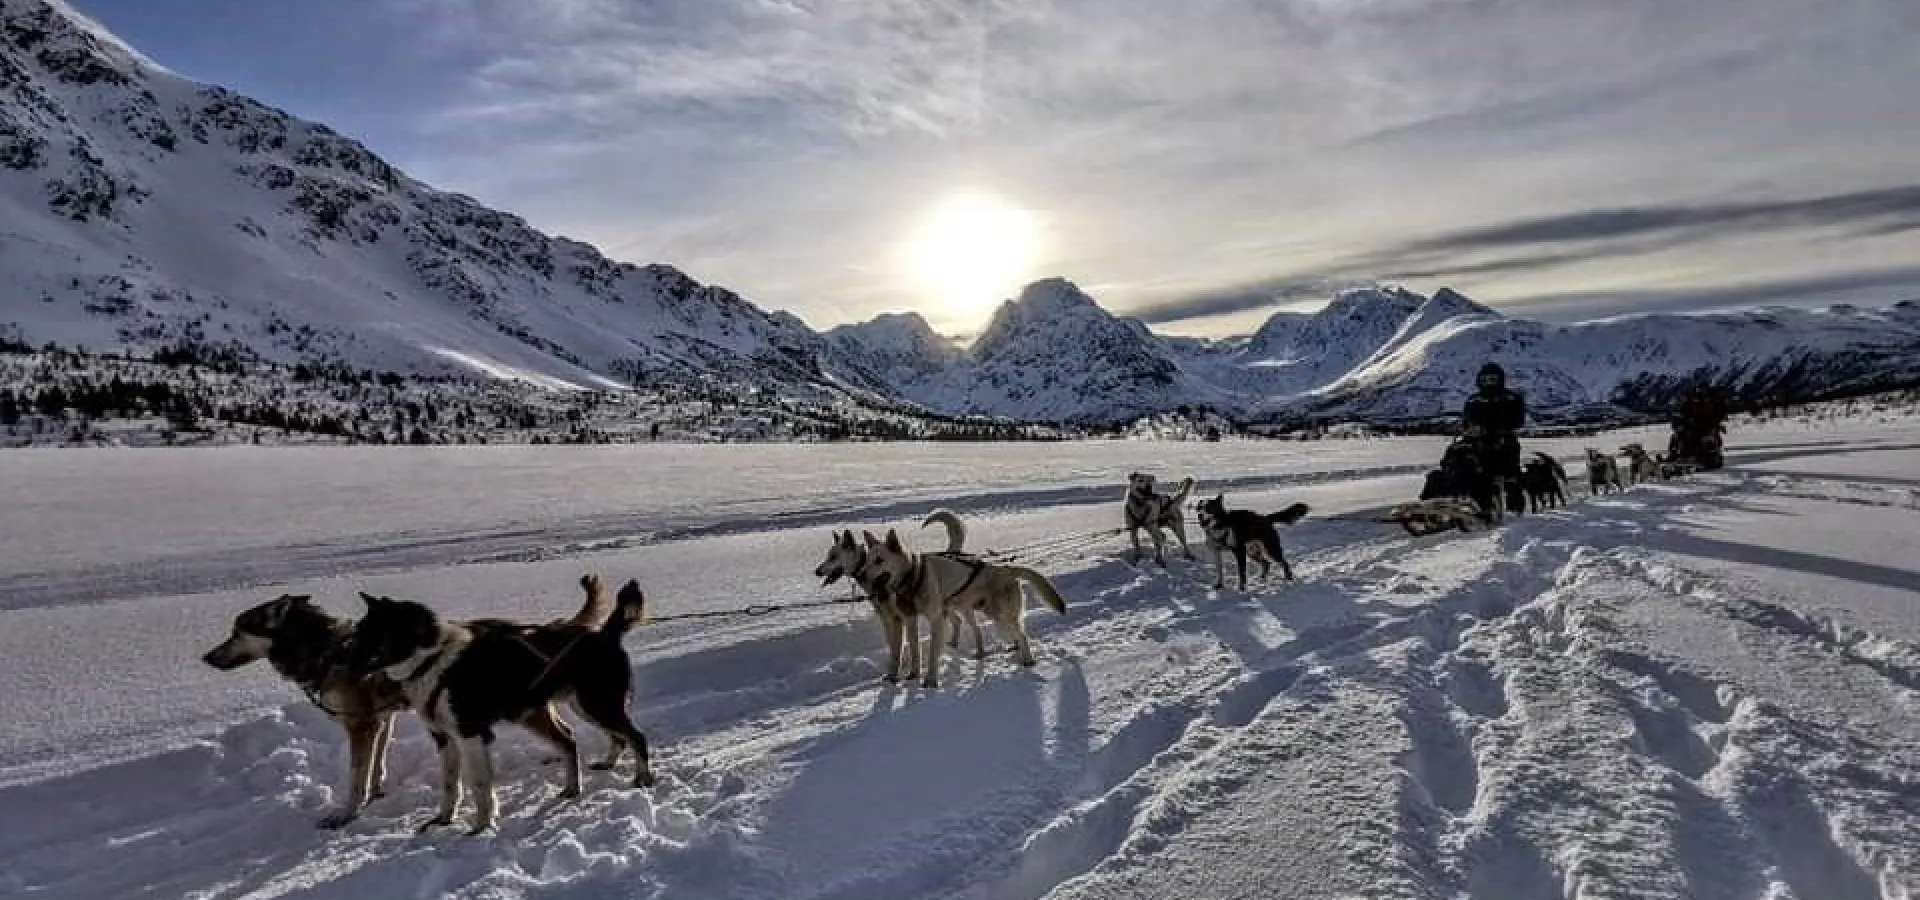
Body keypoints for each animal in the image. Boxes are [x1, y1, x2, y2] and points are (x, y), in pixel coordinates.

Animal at [203, 575, 610, 828]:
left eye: (238, 630)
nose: (207, 657)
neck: (324, 649)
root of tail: (546, 628)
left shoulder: (362, 725)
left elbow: (357, 776)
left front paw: (346, 814)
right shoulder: (382, 720)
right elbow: (375, 765)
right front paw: (377, 792)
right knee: (568, 732)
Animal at [353, 579, 660, 832]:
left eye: (368, 634)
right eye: (359, 633)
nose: (342, 658)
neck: (432, 659)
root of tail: (604, 632)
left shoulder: (471, 735)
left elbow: (479, 785)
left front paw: (481, 827)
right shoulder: (444, 739)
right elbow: (450, 785)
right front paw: (443, 820)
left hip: (595, 705)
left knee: (636, 737)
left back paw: (642, 778)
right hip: (572, 709)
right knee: (583, 740)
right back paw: (583, 781)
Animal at [852, 525, 1067, 686]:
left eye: (879, 560)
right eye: (867, 560)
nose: (859, 575)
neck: (913, 577)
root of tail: (1005, 568)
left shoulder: (937, 620)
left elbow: (932, 654)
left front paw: (930, 681)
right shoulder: (910, 620)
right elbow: (915, 652)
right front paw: (913, 675)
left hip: (1001, 614)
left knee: (1022, 635)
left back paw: (1028, 660)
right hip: (993, 614)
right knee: (1016, 632)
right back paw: (1013, 651)